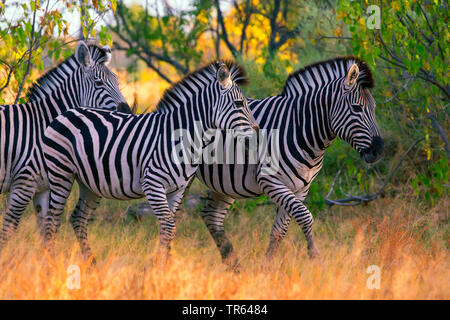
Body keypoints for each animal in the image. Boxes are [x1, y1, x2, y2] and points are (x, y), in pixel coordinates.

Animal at [0, 40, 130, 248]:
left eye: (117, 81)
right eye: (99, 83)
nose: (128, 111)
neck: (44, 126)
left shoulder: (43, 187)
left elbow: (47, 232)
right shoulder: (24, 183)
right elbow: (8, 229)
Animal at [40, 60, 258, 262]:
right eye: (239, 104)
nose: (257, 133)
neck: (182, 137)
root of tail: (67, 111)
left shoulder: (177, 189)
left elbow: (168, 228)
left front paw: (163, 270)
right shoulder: (152, 184)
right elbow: (168, 227)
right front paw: (156, 268)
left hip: (89, 183)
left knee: (78, 218)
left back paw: (91, 265)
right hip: (61, 173)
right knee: (51, 220)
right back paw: (51, 266)